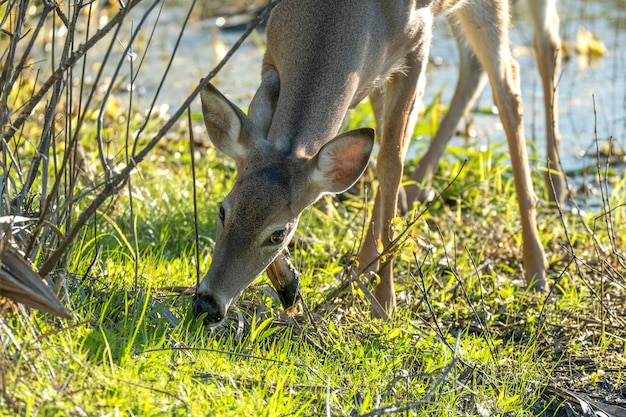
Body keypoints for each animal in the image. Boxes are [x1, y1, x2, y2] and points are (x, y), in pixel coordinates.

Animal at [193, 0, 560, 324]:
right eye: (223, 210)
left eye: (279, 234)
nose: (207, 304)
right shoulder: (274, 58)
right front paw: (290, 284)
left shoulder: (417, 45)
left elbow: (390, 161)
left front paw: (385, 303)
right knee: (483, 67)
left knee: (511, 83)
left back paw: (538, 259)